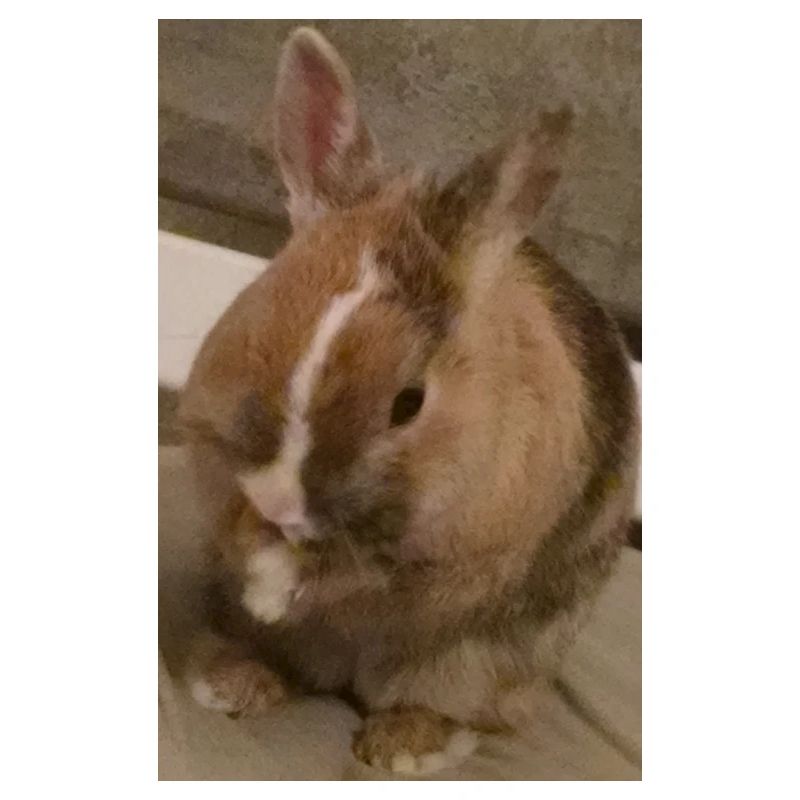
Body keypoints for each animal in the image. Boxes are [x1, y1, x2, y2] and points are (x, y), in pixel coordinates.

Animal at [177, 27, 640, 775]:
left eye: (409, 402)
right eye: (259, 315)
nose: (280, 500)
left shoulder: (450, 555)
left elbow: (358, 576)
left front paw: (277, 586)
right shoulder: (214, 460)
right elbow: (233, 521)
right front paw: (262, 571)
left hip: (480, 665)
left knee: (450, 705)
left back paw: (403, 748)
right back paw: (234, 680)